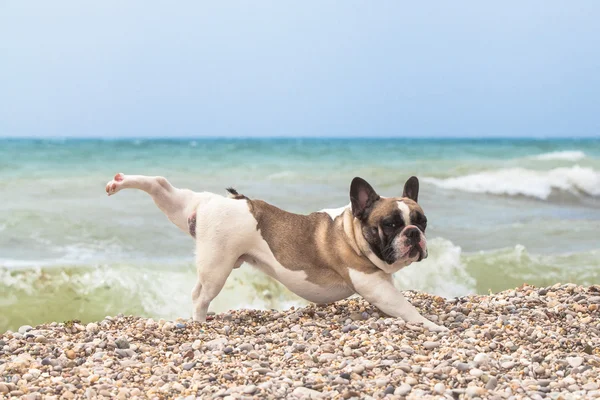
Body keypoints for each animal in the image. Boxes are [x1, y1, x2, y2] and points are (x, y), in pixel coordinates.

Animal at [105, 173, 448, 332]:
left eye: (422, 221)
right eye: (390, 225)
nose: (414, 234)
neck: (351, 231)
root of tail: (213, 202)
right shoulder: (373, 283)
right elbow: (405, 307)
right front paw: (432, 325)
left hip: (186, 207)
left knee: (163, 185)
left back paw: (121, 181)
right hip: (217, 267)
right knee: (200, 296)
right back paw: (201, 321)